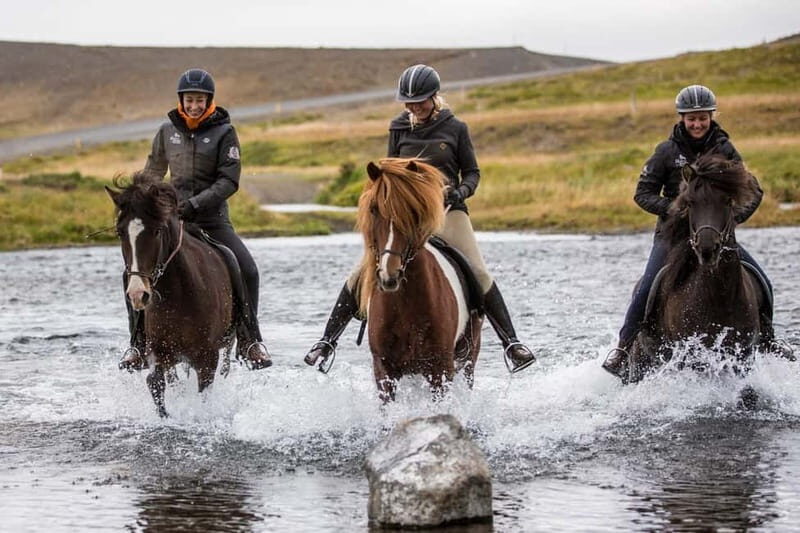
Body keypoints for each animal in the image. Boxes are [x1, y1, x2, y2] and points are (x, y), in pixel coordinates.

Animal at [106, 171, 235, 417]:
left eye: (156, 231)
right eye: (120, 233)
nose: (138, 293)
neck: (179, 295)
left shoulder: (208, 359)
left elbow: (204, 395)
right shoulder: (160, 353)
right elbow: (155, 384)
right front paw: (165, 416)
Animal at [356, 158, 483, 402]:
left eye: (412, 211)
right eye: (374, 209)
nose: (390, 275)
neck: (405, 303)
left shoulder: (440, 369)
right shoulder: (384, 368)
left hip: (468, 357)